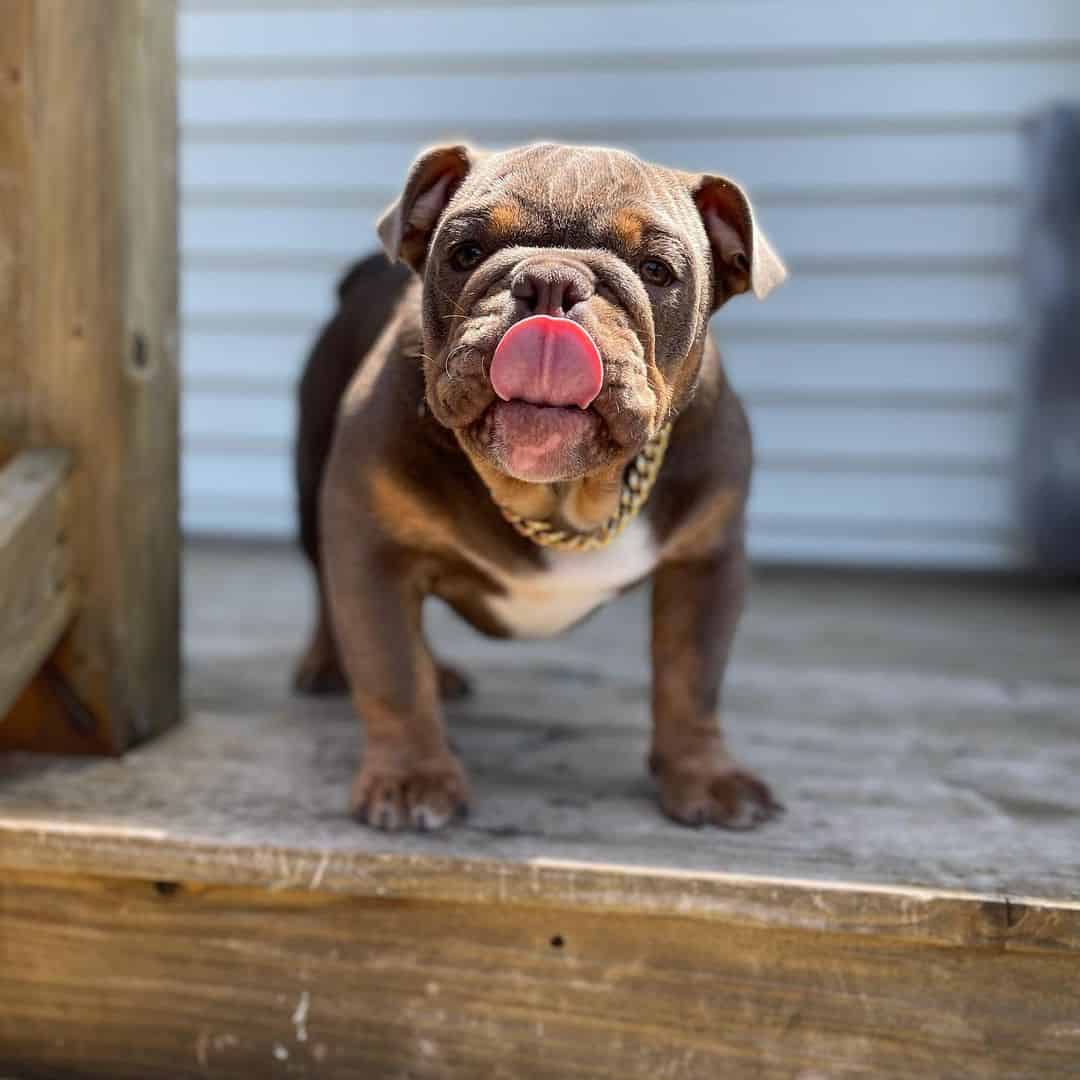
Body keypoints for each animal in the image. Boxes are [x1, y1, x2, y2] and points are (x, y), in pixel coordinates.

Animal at [295, 141, 786, 833]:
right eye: (465, 253)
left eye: (658, 271)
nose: (552, 281)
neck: (563, 495)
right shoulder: (370, 548)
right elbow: (391, 669)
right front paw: (412, 778)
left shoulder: (705, 562)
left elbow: (693, 678)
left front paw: (706, 776)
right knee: (325, 589)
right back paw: (326, 664)